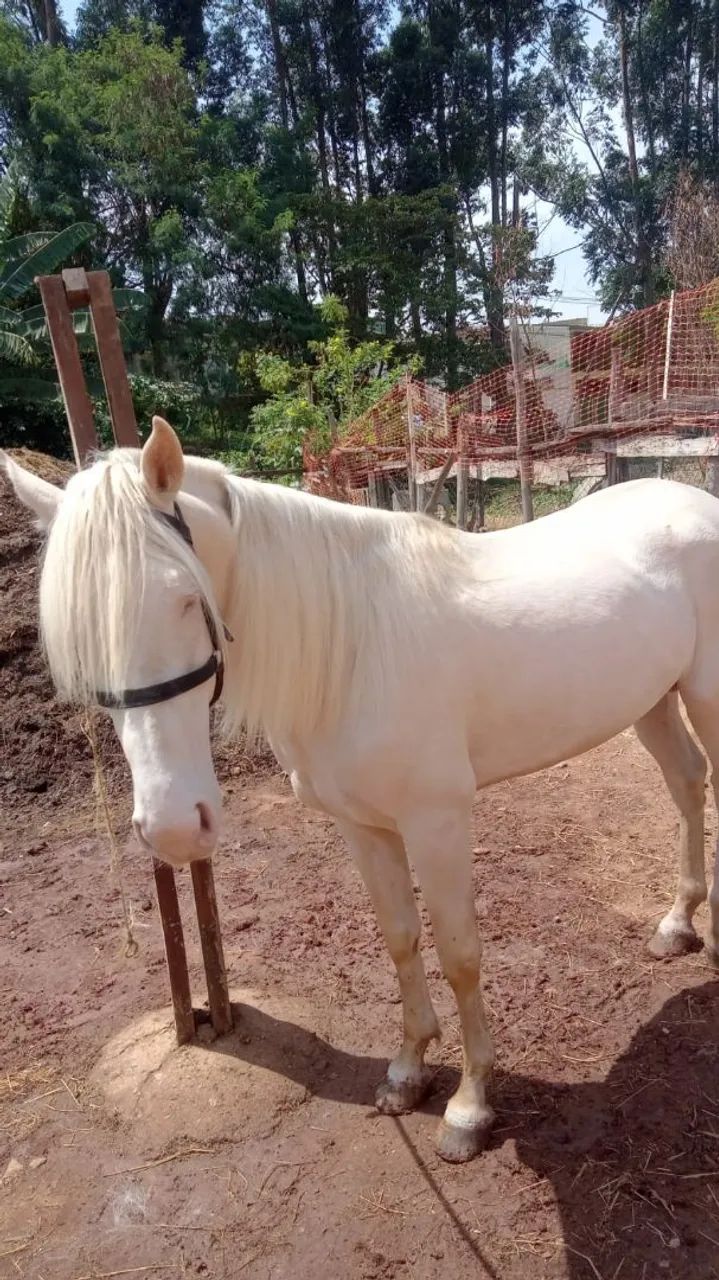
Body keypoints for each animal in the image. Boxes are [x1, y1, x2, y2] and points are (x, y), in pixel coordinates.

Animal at [4, 416, 719, 1164]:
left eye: (184, 597)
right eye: (79, 632)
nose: (172, 828)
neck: (354, 648)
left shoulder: (437, 823)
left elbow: (460, 954)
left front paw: (469, 1107)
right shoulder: (362, 825)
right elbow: (400, 938)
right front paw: (408, 1073)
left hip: (703, 696)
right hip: (650, 702)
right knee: (685, 783)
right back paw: (676, 925)